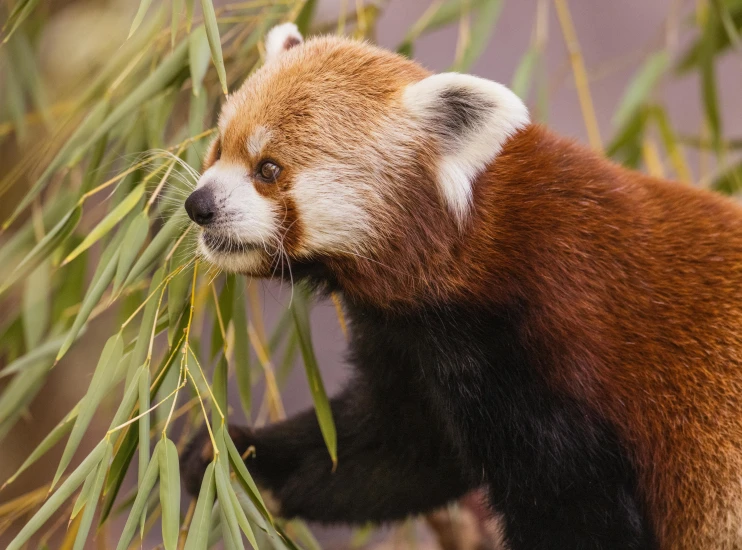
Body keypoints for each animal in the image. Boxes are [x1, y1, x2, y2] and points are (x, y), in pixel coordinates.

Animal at [180, 22, 742, 550]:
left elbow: (578, 516)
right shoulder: (418, 347)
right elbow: (390, 453)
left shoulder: (552, 353)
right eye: (218, 148)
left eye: (268, 169)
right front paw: (229, 456)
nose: (198, 204)